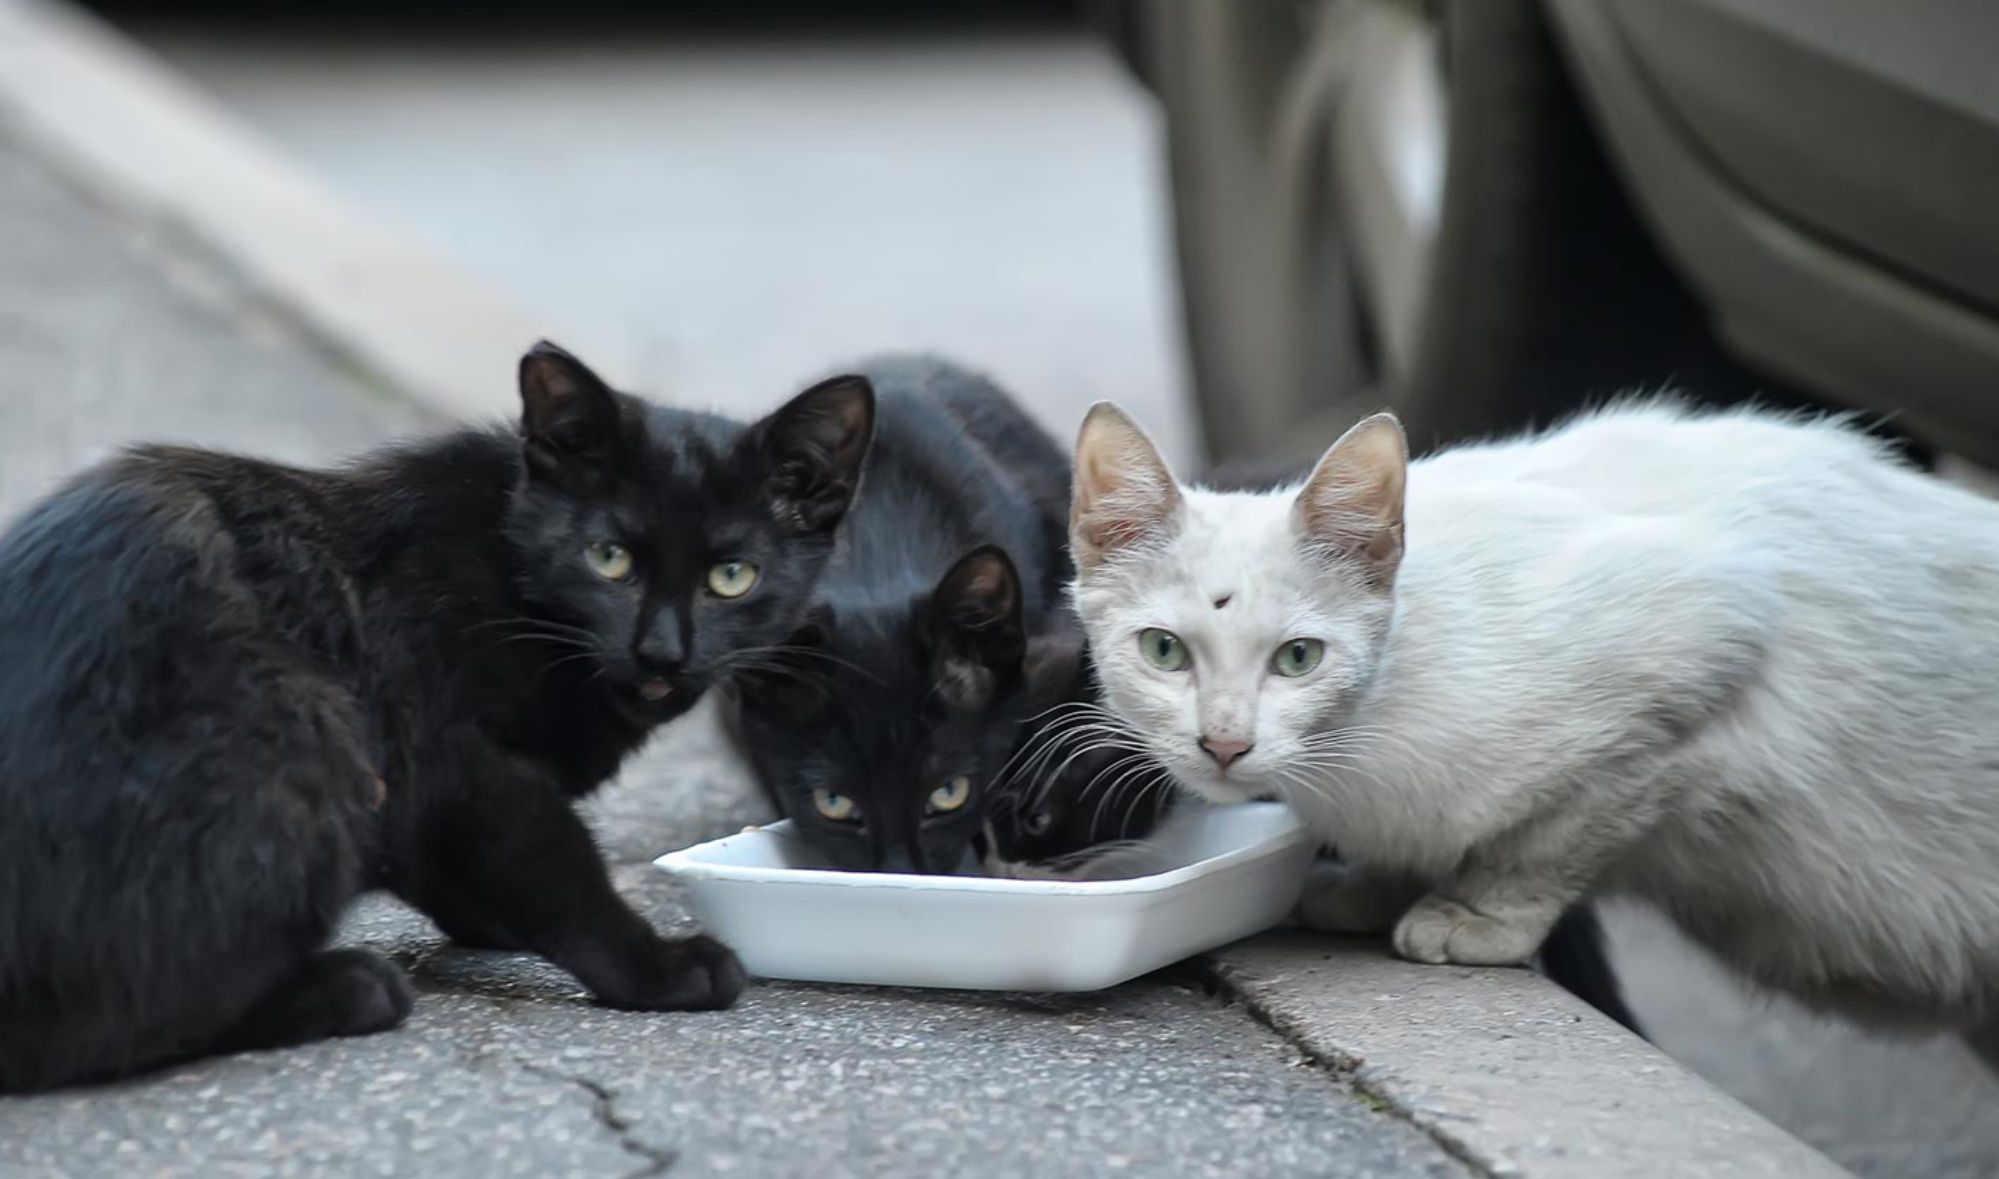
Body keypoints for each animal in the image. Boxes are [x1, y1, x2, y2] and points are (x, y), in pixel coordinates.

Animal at [1, 343, 875, 1103]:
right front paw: (657, 967)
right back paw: (347, 987)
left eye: (732, 577)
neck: (514, 578)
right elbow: (555, 866)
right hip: (312, 729)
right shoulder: (458, 758)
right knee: (99, 1028)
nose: (661, 649)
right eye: (608, 558)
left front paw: (488, 919)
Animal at [1071, 399, 1999, 1063]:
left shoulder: (1702, 655)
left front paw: (1471, 914)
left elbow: (1549, 843)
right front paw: (1376, 885)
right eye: (1163, 650)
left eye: (1298, 657)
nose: (1224, 744)